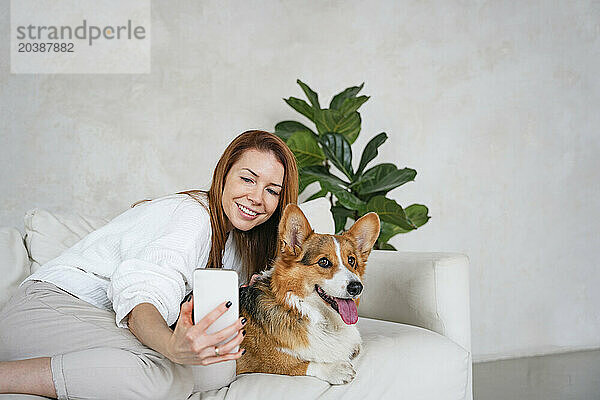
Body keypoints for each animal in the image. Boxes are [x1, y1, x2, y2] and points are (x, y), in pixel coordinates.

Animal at [236, 205, 380, 382]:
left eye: (351, 261)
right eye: (324, 262)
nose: (357, 287)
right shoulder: (263, 363)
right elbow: (301, 364)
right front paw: (335, 369)